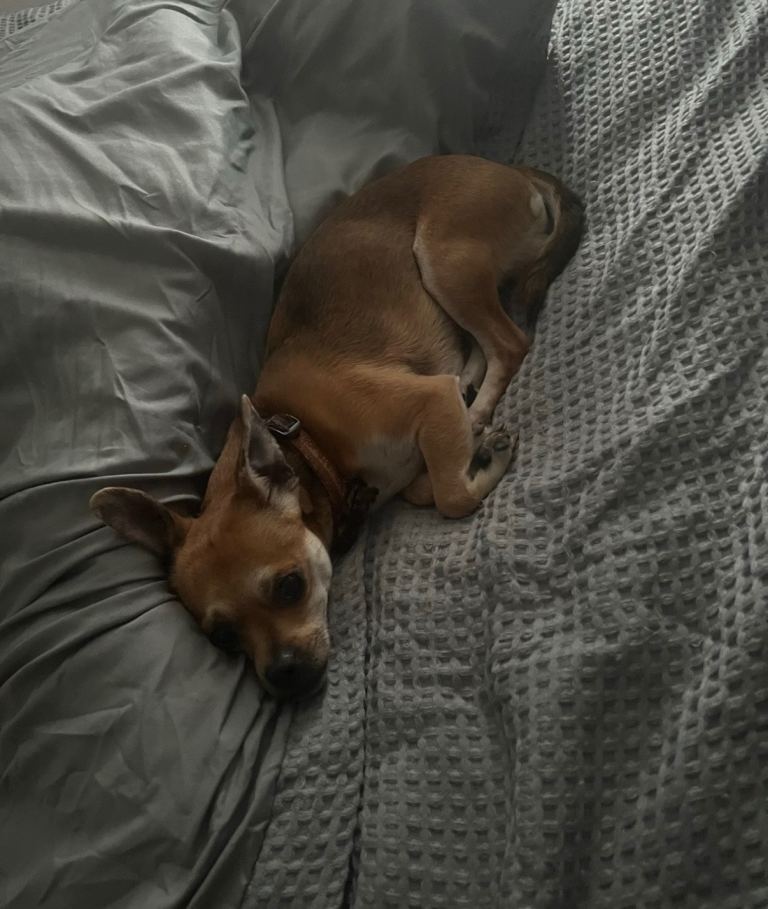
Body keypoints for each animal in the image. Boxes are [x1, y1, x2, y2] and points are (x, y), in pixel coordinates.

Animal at [90, 154, 583, 700]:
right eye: (223, 637)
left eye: (290, 586)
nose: (284, 677)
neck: (312, 445)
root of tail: (507, 168)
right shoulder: (424, 428)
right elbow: (427, 487)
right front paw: (468, 454)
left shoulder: (428, 401)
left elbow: (452, 497)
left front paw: (482, 456)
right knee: (482, 347)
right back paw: (470, 393)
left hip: (442, 259)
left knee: (510, 343)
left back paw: (478, 409)